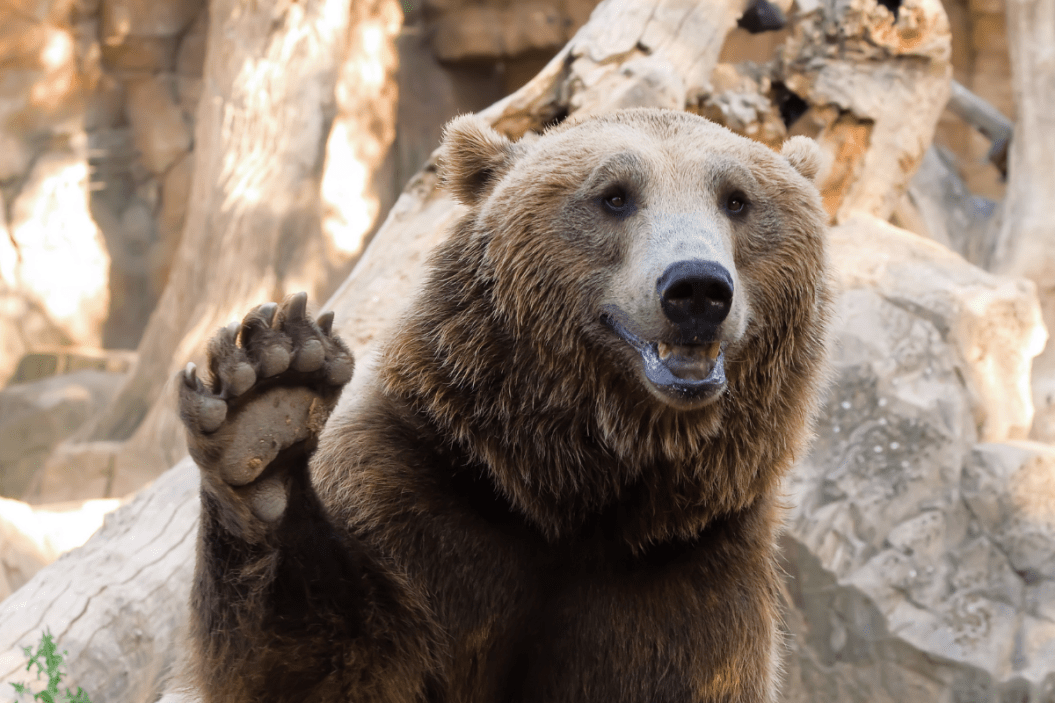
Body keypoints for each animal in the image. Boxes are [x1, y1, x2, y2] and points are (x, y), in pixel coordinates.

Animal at [177, 107, 832, 703]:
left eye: (737, 200)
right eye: (615, 196)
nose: (697, 288)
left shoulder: (692, 569)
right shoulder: (422, 492)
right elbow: (330, 659)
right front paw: (266, 409)